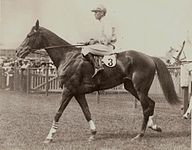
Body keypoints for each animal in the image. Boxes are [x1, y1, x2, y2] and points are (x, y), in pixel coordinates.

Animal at [16, 19, 180, 143]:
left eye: (29, 35)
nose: (18, 51)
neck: (67, 56)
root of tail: (149, 57)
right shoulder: (78, 93)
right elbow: (87, 112)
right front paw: (93, 133)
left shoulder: (68, 91)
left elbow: (58, 113)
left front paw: (49, 137)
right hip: (131, 87)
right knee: (150, 104)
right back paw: (154, 127)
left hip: (140, 88)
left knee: (146, 107)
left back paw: (140, 135)